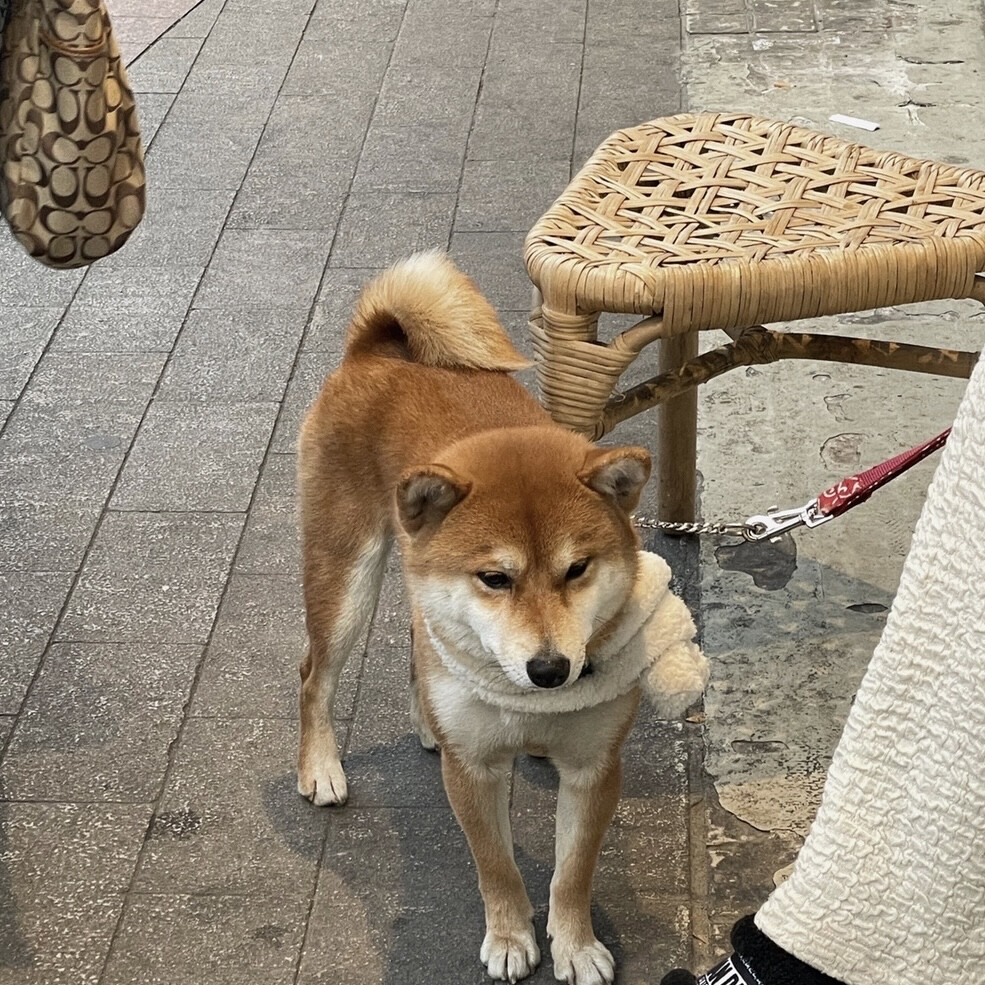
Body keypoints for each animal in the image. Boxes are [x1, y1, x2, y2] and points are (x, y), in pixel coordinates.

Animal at [296, 254, 656, 984]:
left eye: (577, 569)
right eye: (495, 577)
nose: (550, 669)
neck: (527, 704)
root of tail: (376, 349)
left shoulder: (594, 766)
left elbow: (573, 873)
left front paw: (574, 944)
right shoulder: (475, 771)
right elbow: (497, 867)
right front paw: (512, 937)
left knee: (416, 638)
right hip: (345, 577)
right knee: (314, 676)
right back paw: (320, 768)